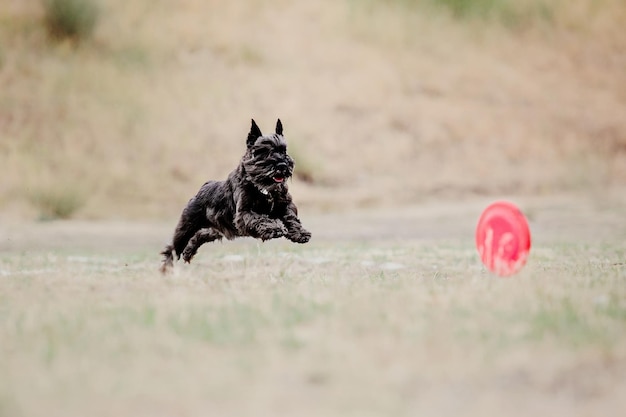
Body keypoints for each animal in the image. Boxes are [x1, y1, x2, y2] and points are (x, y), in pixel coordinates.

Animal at [158, 118, 310, 272]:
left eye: (284, 150)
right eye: (264, 151)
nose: (282, 165)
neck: (264, 189)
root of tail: (203, 187)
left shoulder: (285, 205)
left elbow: (291, 218)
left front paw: (300, 233)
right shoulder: (243, 214)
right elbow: (260, 219)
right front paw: (275, 228)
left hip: (215, 229)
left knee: (199, 235)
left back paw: (188, 253)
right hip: (186, 227)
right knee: (172, 249)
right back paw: (166, 269)